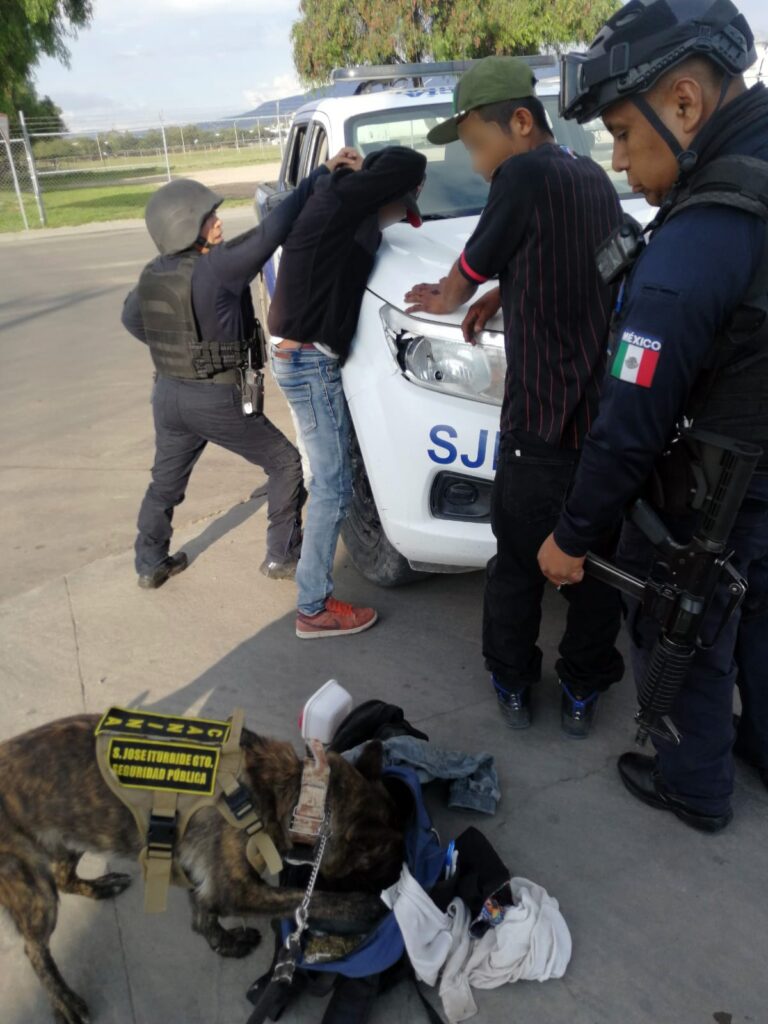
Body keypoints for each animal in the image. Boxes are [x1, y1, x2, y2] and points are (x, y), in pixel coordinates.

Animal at [0, 716, 405, 1024]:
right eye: (382, 863)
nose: (397, 879)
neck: (299, 797)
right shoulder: (237, 889)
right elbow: (311, 899)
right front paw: (366, 907)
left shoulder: (207, 881)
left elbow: (203, 915)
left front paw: (223, 943)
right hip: (34, 887)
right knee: (34, 946)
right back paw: (64, 999)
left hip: (69, 838)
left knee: (64, 877)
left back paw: (99, 887)